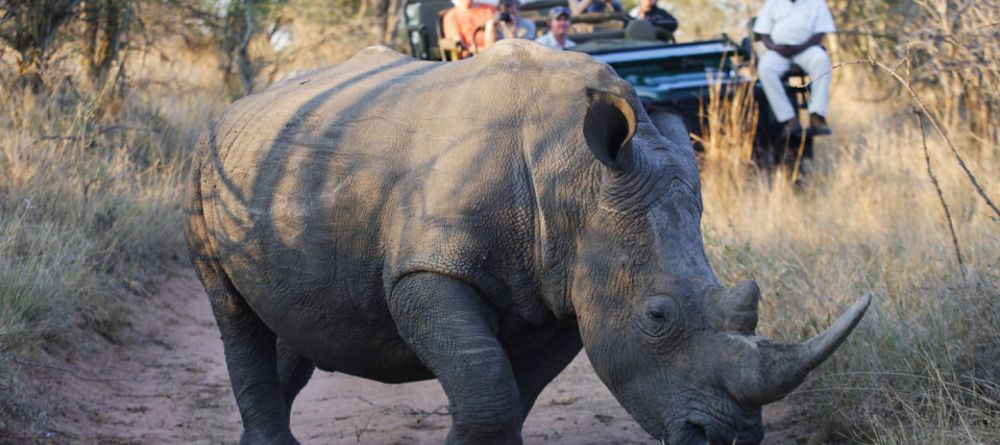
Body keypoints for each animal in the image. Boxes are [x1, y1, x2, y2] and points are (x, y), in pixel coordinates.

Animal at [185, 40, 869, 445]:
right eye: (656, 316)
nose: (725, 438)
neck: (579, 178)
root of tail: (237, 107)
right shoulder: (429, 270)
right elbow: (488, 388)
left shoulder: (566, 285)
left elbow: (516, 395)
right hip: (204, 163)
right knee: (231, 309)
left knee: (290, 316)